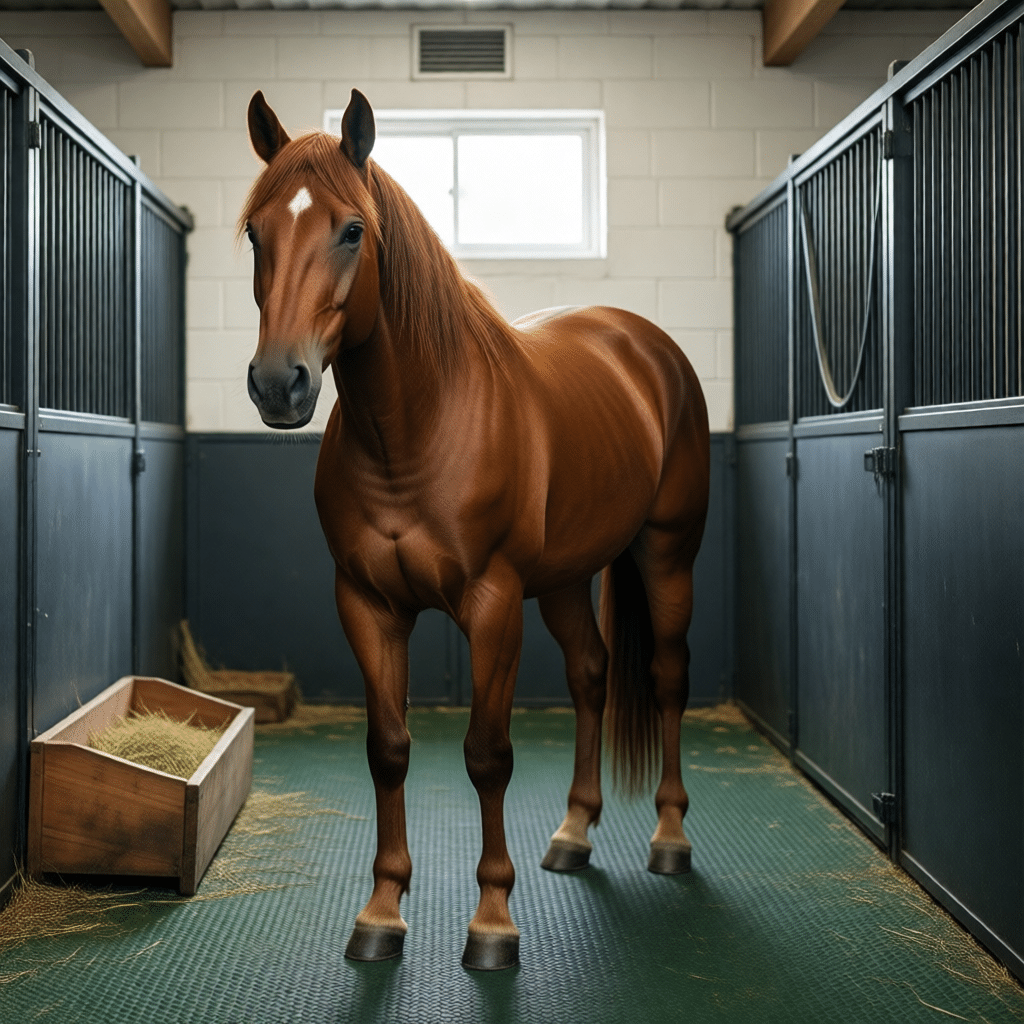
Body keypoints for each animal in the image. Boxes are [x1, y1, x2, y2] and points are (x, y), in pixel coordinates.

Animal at [241, 88, 710, 972]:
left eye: (351, 230)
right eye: (255, 231)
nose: (280, 384)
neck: (415, 428)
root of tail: (645, 344)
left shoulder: (492, 606)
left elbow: (487, 756)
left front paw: (493, 923)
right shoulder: (367, 606)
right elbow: (388, 750)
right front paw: (382, 912)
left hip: (667, 554)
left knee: (667, 679)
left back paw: (669, 838)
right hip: (564, 580)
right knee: (591, 675)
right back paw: (572, 834)